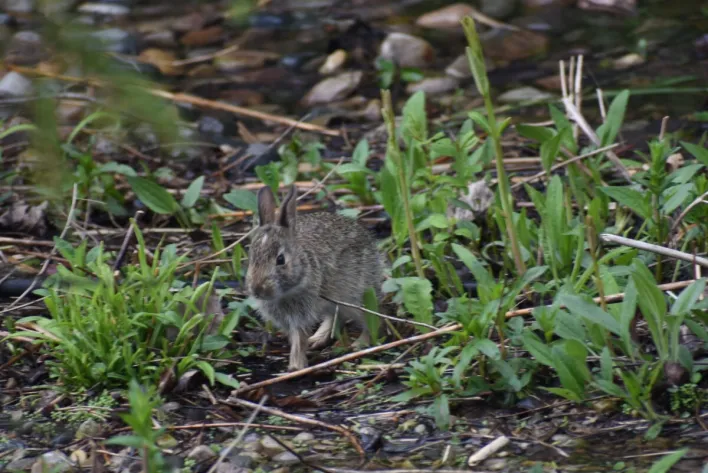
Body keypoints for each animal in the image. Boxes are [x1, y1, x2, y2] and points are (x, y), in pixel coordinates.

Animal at [245, 184, 384, 371]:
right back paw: (318, 339)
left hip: (357, 295)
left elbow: (299, 338)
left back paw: (360, 344)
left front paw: (295, 367)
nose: (257, 289)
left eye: (280, 260)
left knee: (371, 319)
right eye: (251, 257)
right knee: (335, 316)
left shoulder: (302, 314)